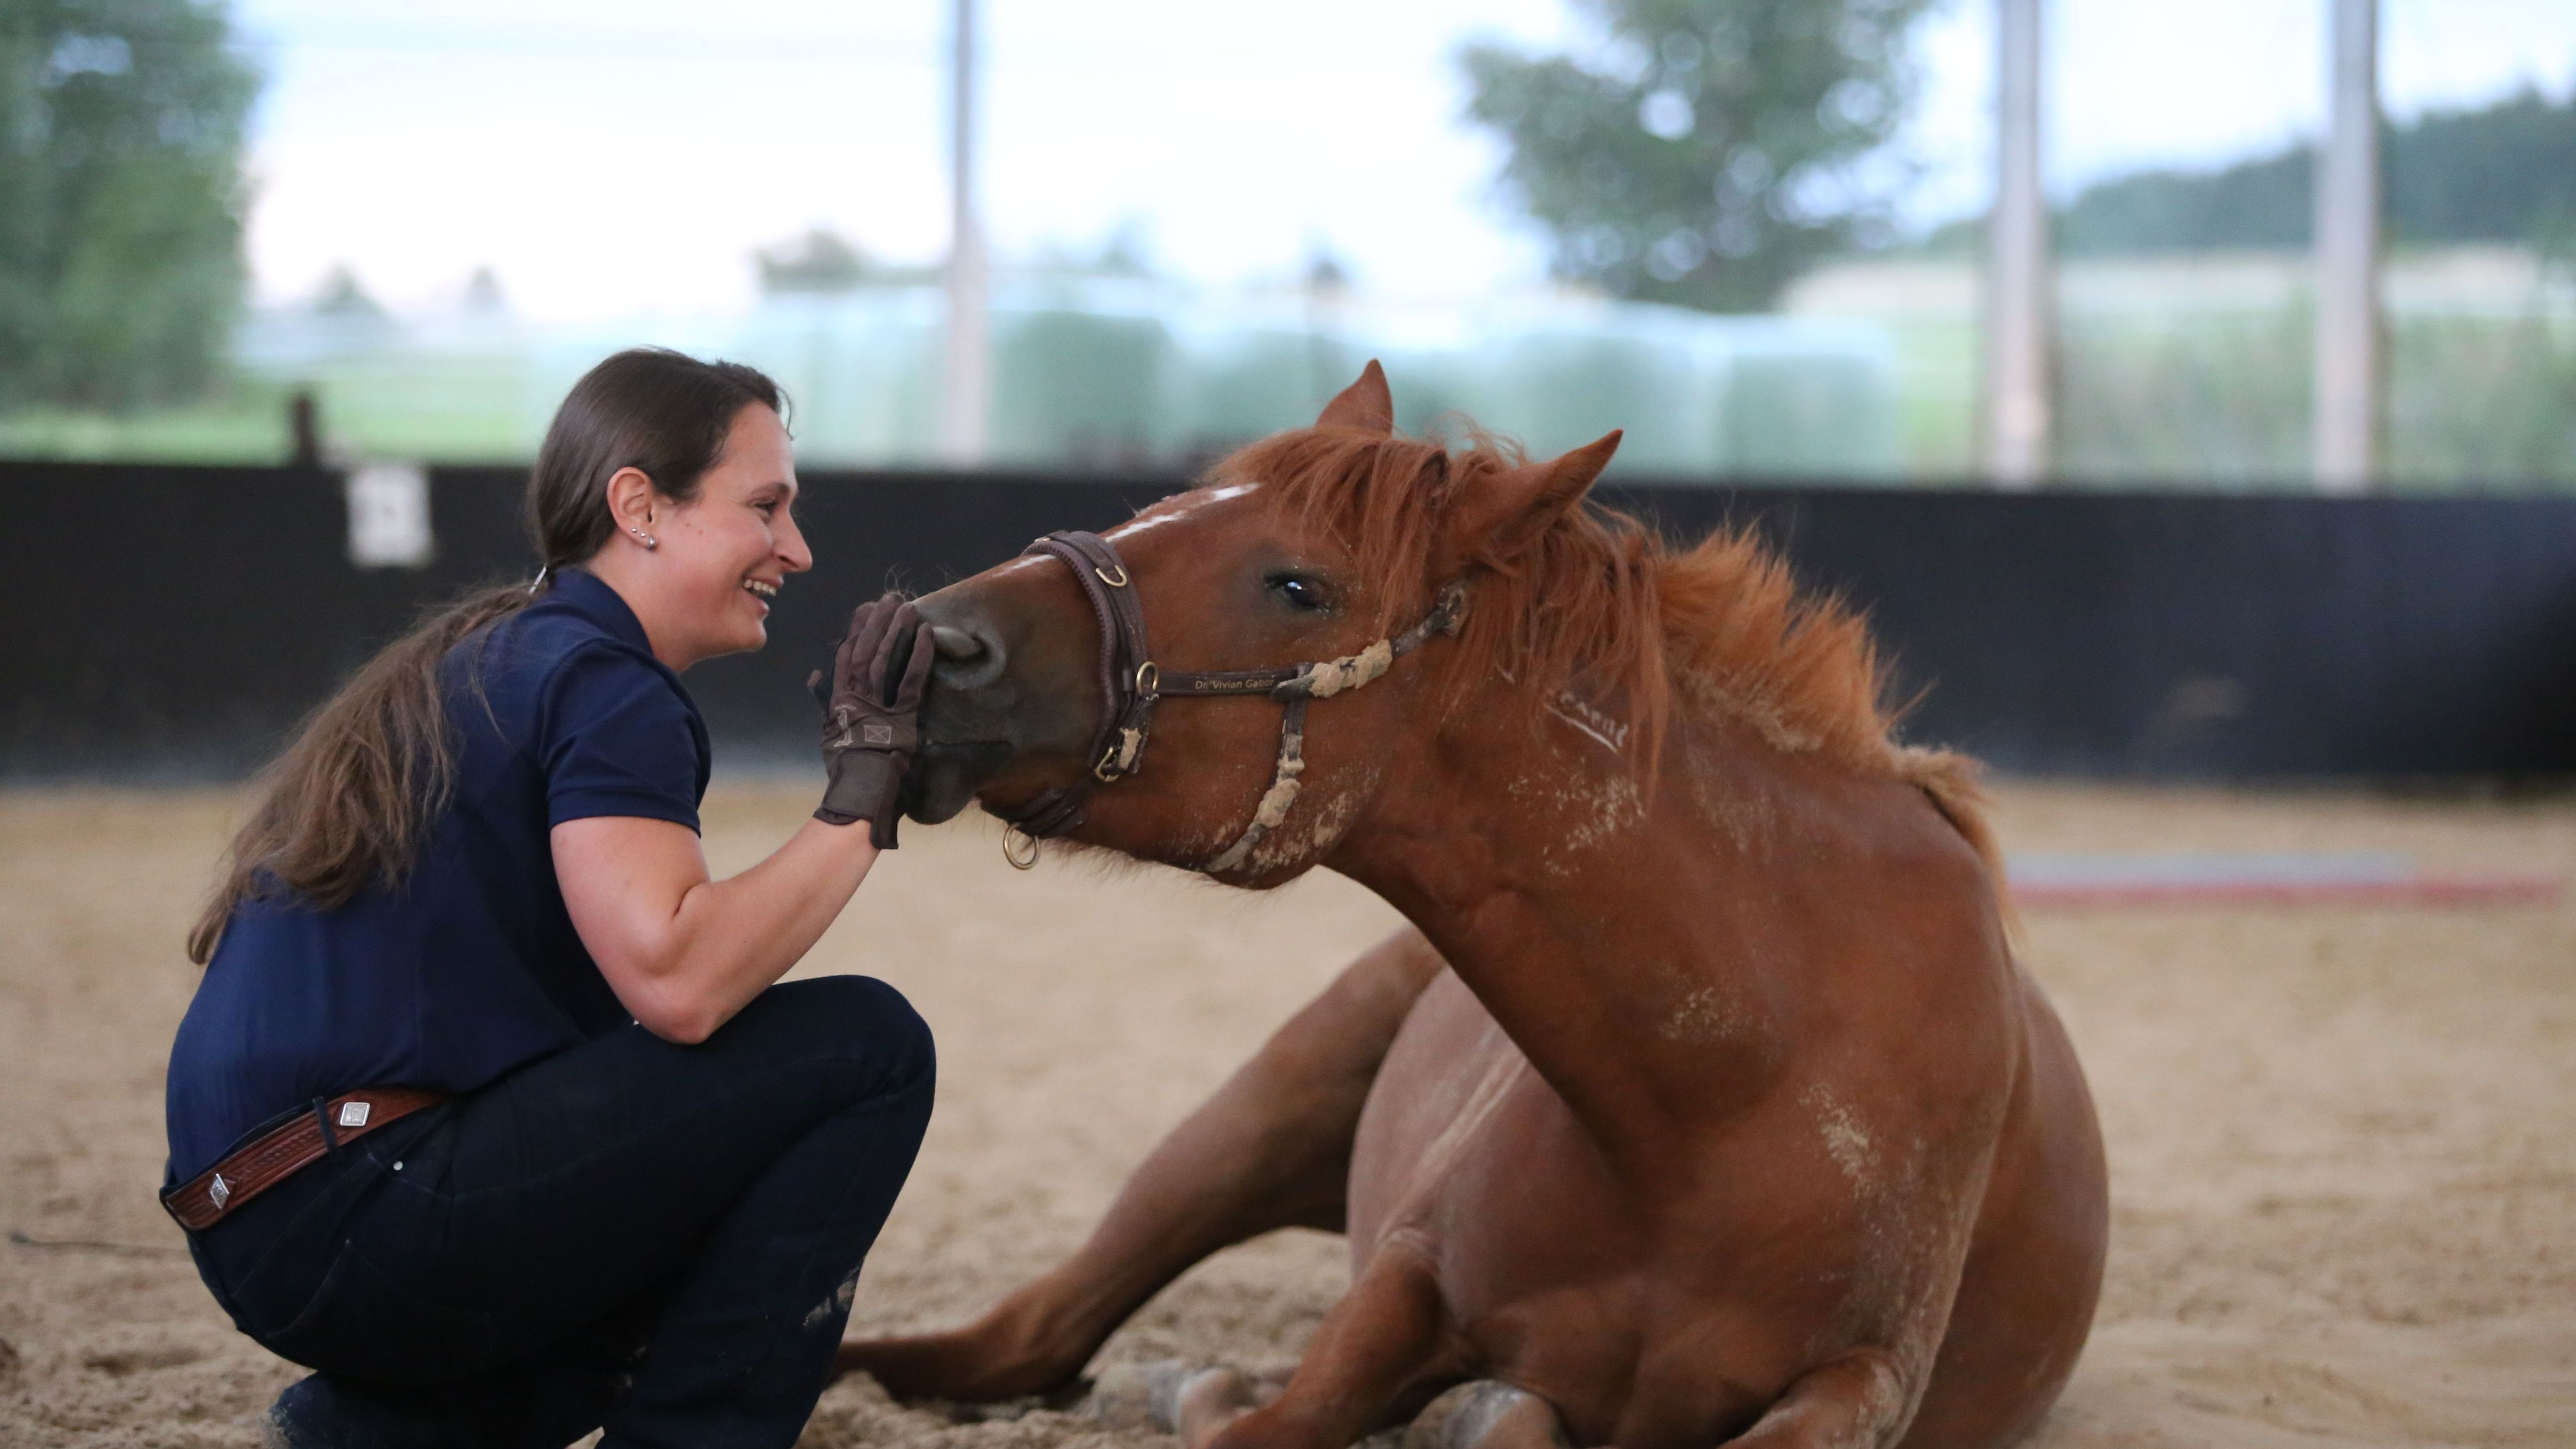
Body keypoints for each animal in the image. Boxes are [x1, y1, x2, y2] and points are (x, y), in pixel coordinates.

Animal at [835, 365, 2102, 1449]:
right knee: (1026, 1336)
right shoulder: (1406, 1274)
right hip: (1252, 1118)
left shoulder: (1860, 1380)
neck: (1733, 1096)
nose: (940, 642)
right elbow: (1295, 1413)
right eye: (1163, 508)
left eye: (1297, 584)